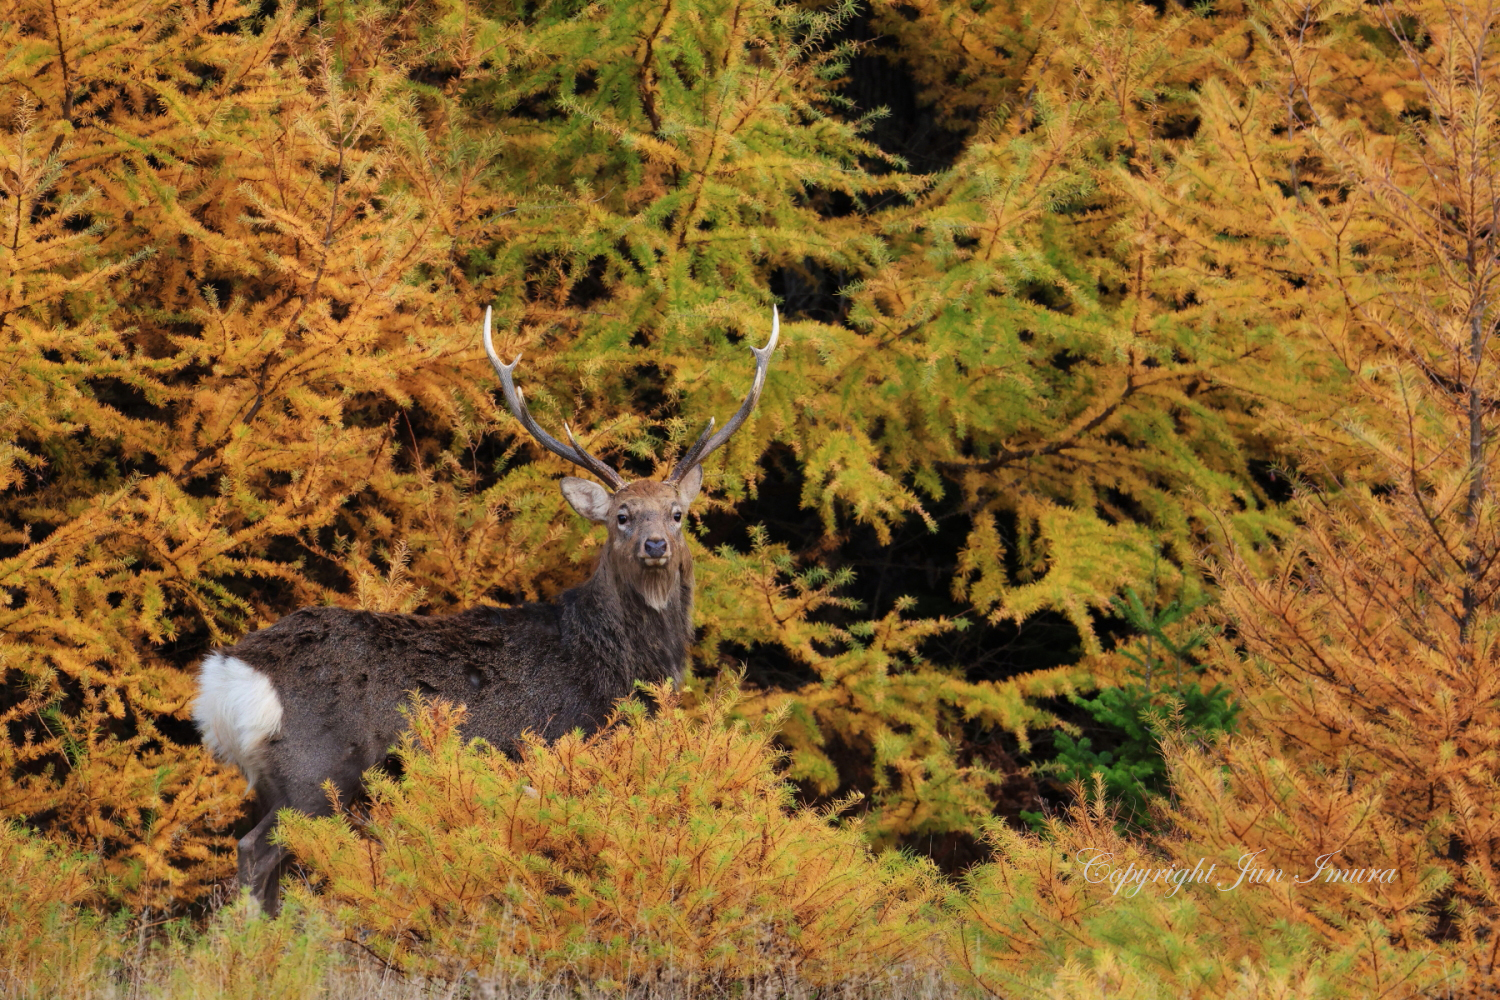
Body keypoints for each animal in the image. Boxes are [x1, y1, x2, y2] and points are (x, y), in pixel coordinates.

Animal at [192, 306, 778, 913]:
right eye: (622, 515)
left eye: (678, 513)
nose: (656, 544)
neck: (618, 666)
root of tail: (228, 675)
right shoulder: (561, 747)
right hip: (314, 772)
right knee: (253, 853)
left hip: (280, 783)